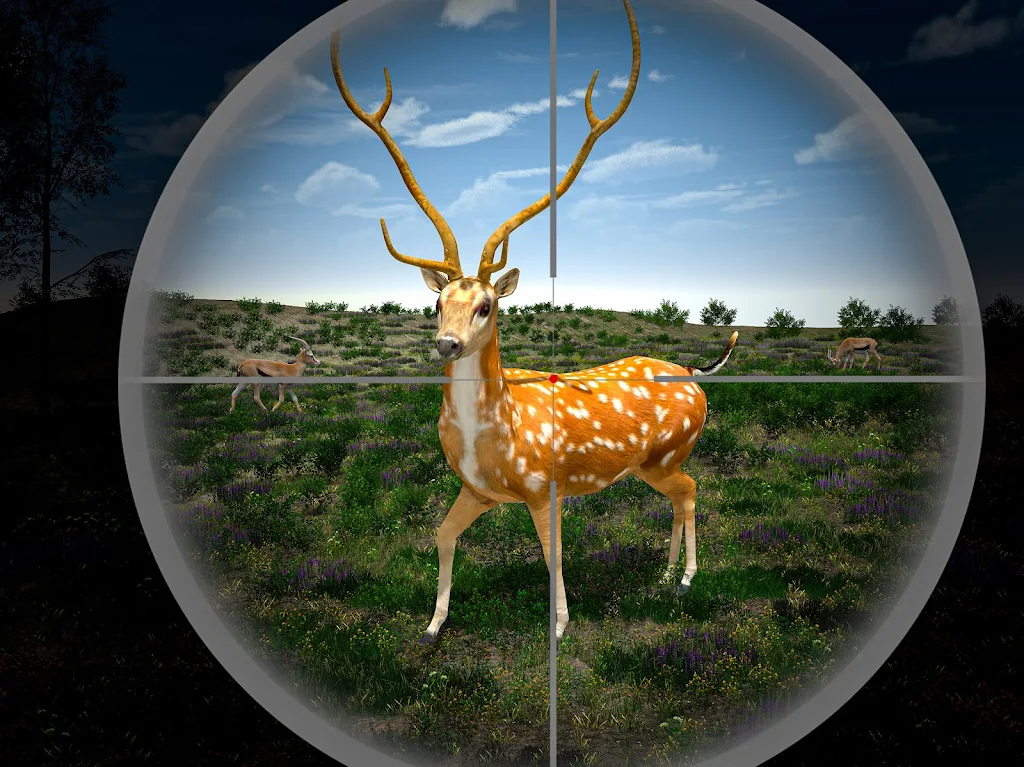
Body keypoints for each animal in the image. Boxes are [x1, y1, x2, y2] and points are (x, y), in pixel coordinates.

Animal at [330, 0, 738, 646]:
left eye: (487, 305)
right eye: (436, 303)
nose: (447, 343)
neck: (496, 438)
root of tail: (697, 374)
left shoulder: (545, 488)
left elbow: (554, 555)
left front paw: (562, 626)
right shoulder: (477, 489)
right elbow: (441, 535)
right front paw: (433, 624)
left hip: (667, 455)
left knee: (694, 491)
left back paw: (687, 578)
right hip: (655, 464)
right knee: (682, 497)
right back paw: (664, 571)